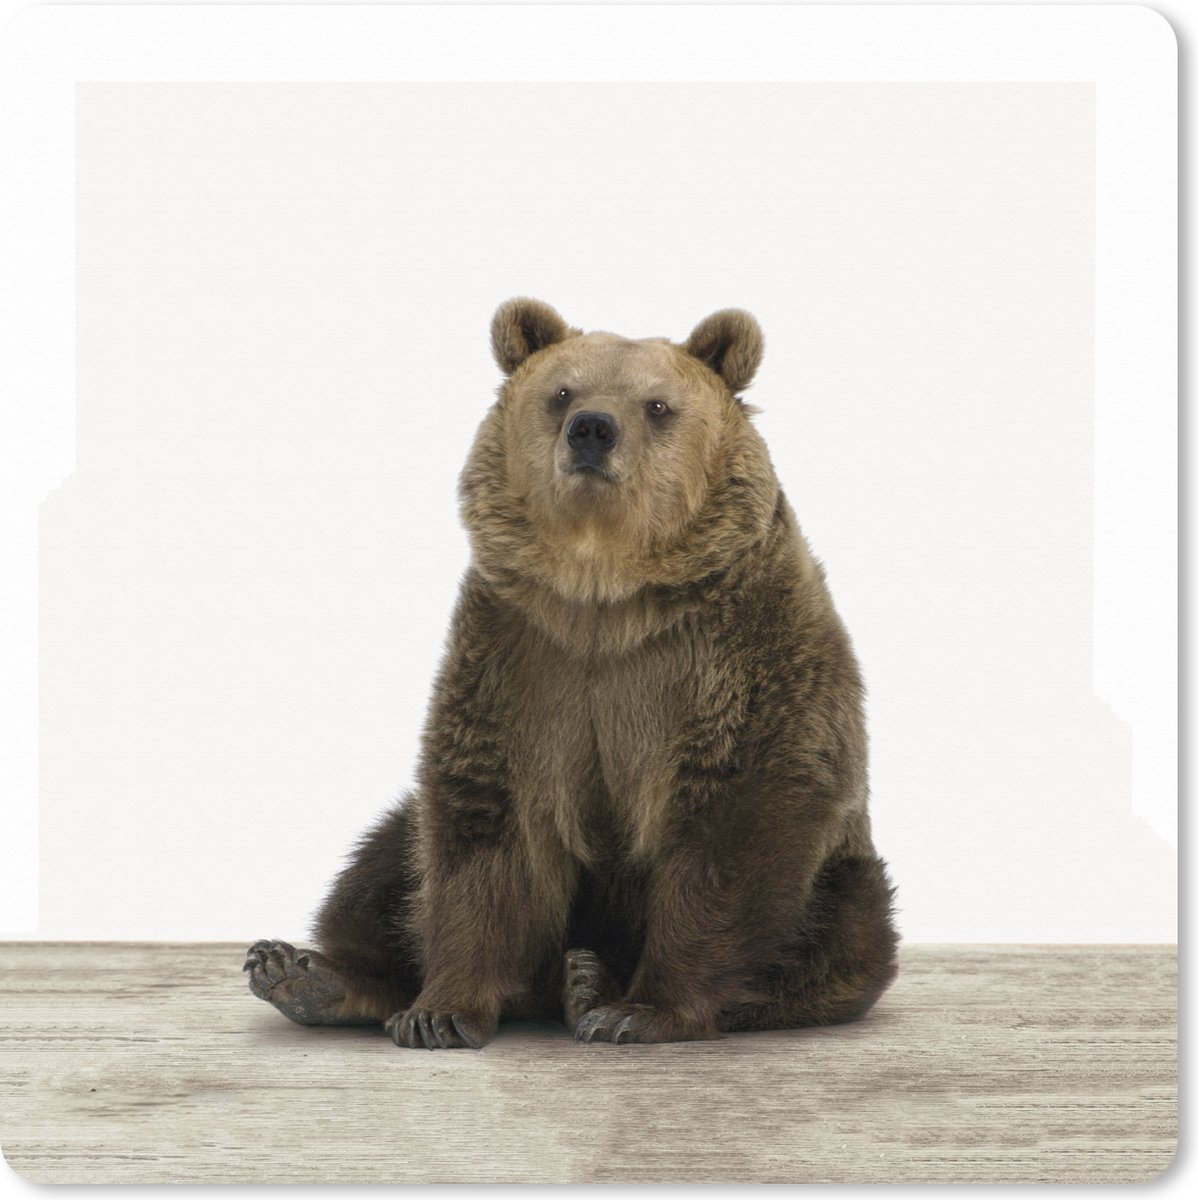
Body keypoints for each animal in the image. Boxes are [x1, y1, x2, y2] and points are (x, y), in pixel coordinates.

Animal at [244, 299, 898, 1047]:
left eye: (657, 405)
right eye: (562, 393)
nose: (592, 428)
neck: (604, 594)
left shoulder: (739, 655)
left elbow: (735, 825)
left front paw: (641, 1011)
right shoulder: (519, 659)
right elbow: (482, 830)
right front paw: (438, 1012)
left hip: (843, 880)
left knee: (837, 935)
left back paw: (591, 983)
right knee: (384, 861)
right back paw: (306, 974)